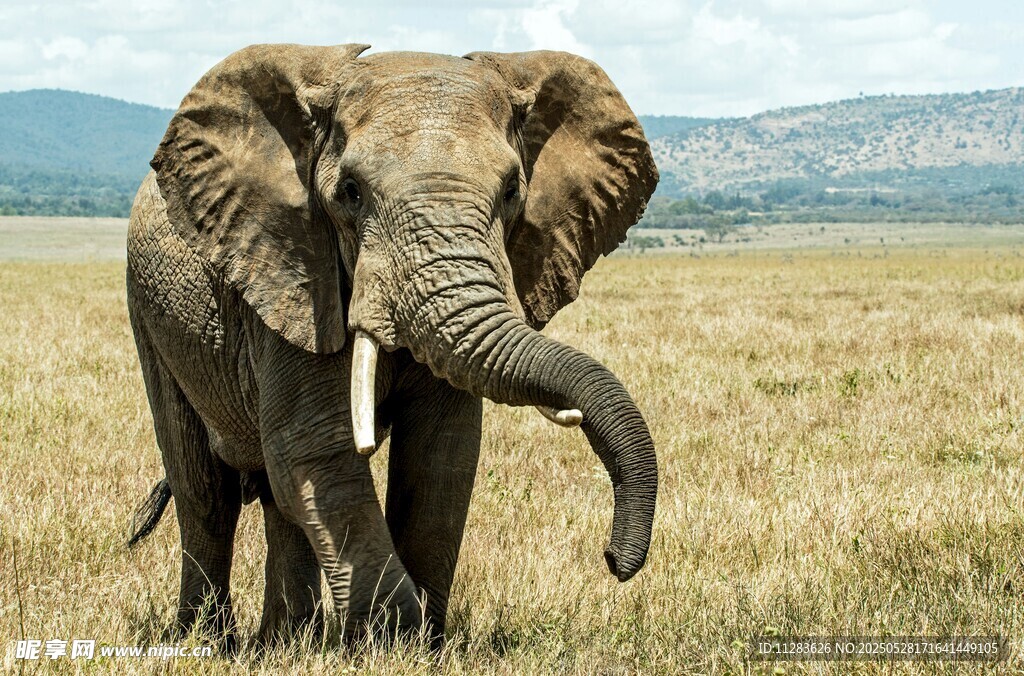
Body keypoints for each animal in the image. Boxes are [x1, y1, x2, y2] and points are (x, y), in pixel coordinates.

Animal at [125, 43, 659, 649]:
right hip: (151, 314)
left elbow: (441, 456)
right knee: (205, 491)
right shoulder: (293, 274)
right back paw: (208, 643)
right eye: (350, 193)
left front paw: (422, 644)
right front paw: (393, 639)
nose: (614, 560)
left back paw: (286, 643)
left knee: (276, 497)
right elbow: (317, 448)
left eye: (511, 192)